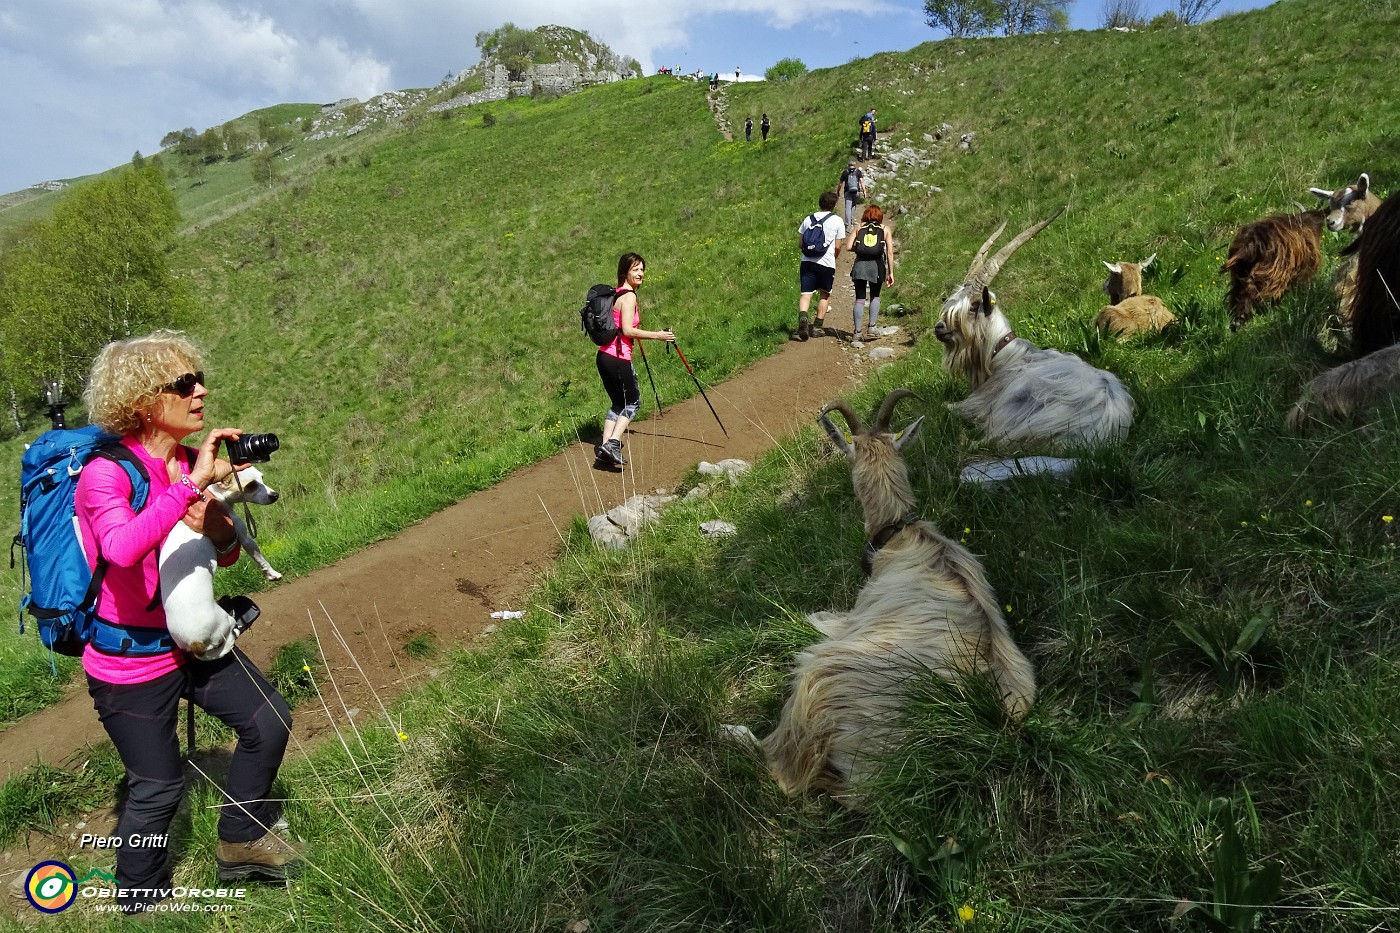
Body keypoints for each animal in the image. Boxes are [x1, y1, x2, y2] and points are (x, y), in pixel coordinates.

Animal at [161, 465, 281, 661]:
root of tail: (195, 645)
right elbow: (260, 559)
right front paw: (272, 574)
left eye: (262, 478)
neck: (212, 495)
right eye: (251, 485)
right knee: (230, 628)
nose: (275, 495)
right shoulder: (244, 538)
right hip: (222, 621)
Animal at [728, 386, 1036, 801]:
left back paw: (734, 734)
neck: (900, 533)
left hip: (822, 679)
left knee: (781, 767)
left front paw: (811, 616)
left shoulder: (856, 615)